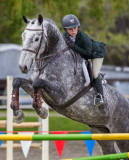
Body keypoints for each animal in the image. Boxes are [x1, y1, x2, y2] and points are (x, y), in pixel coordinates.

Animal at [10, 14, 129, 159]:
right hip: (101, 131)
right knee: (110, 151)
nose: (23, 67)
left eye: (37, 38)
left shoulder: (60, 95)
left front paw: (41, 111)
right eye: (23, 36)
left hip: (122, 133)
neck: (50, 57)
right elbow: (18, 82)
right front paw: (18, 114)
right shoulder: (32, 84)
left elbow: (39, 83)